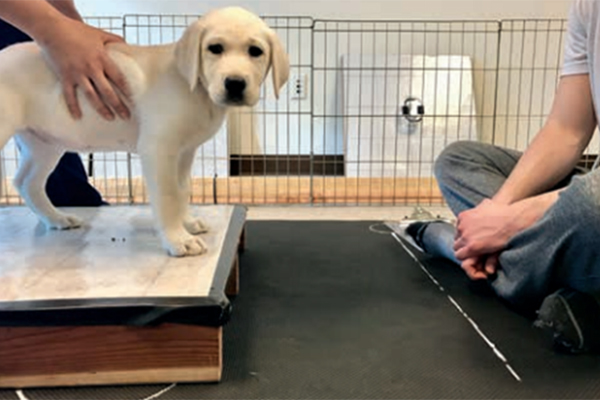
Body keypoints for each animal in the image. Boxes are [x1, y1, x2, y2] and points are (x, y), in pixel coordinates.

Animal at [0, 7, 288, 256]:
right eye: (215, 48)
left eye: (256, 51)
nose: (235, 83)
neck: (195, 88)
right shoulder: (158, 149)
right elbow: (168, 195)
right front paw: (178, 240)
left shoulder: (184, 152)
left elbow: (182, 190)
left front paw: (187, 223)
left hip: (46, 145)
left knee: (26, 182)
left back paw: (57, 218)